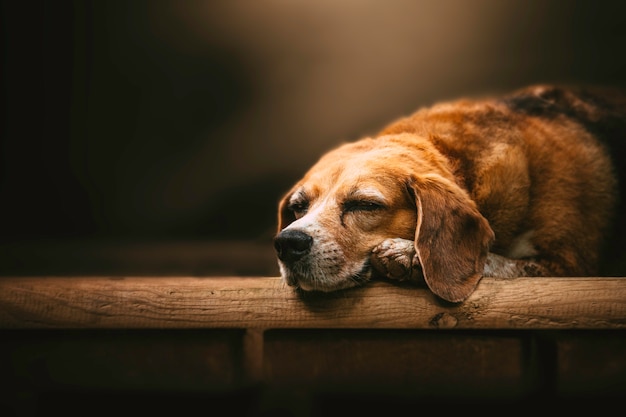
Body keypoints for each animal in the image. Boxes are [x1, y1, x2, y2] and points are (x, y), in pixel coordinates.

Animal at [272, 84, 624, 300]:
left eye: (365, 205)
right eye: (299, 206)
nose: (287, 243)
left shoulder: (568, 267)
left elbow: (498, 262)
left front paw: (410, 254)